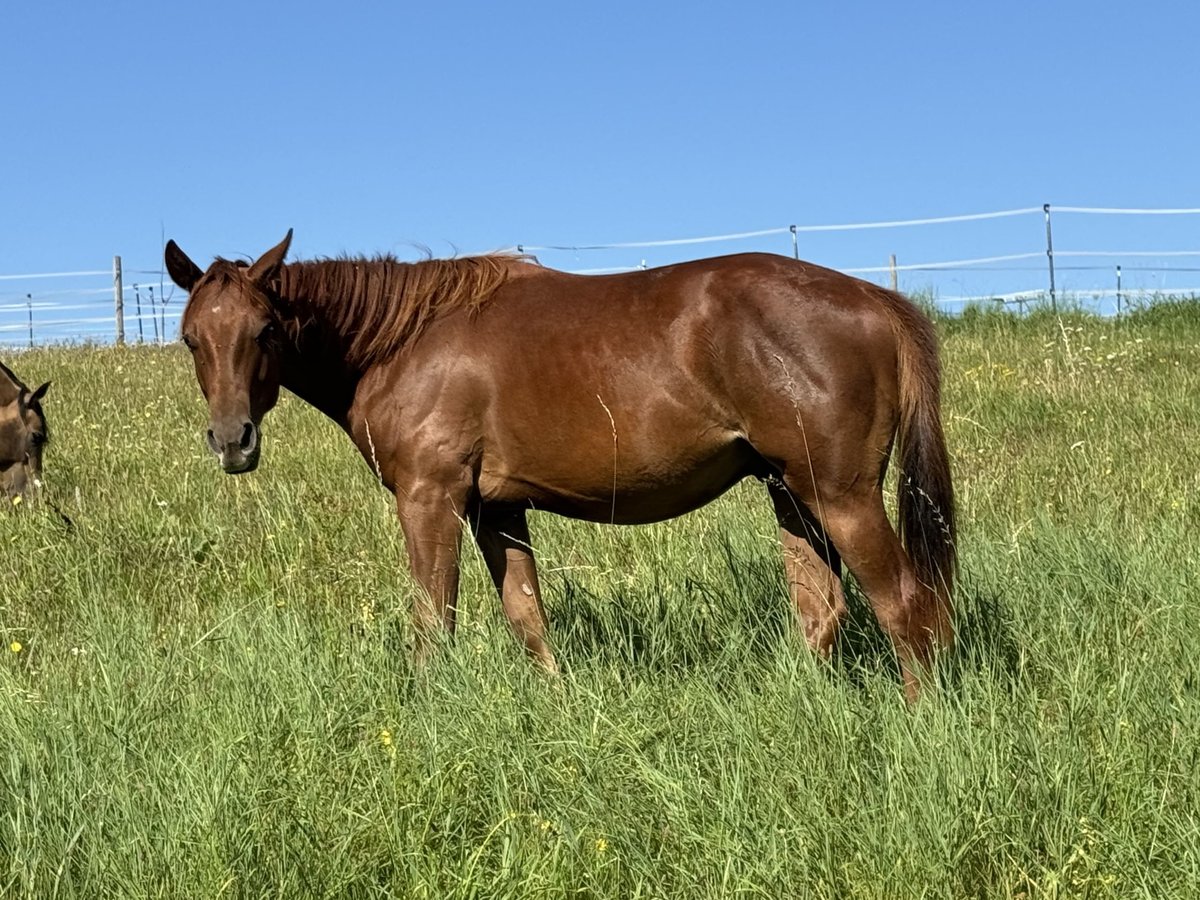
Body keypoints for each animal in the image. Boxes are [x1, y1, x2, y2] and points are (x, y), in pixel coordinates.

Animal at [166, 230, 955, 696]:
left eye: (266, 329)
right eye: (190, 338)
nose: (232, 440)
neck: (406, 338)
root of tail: (873, 298)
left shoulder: (430, 497)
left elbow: (432, 624)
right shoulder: (497, 508)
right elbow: (527, 616)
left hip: (841, 496)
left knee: (908, 607)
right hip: (792, 493)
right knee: (823, 611)